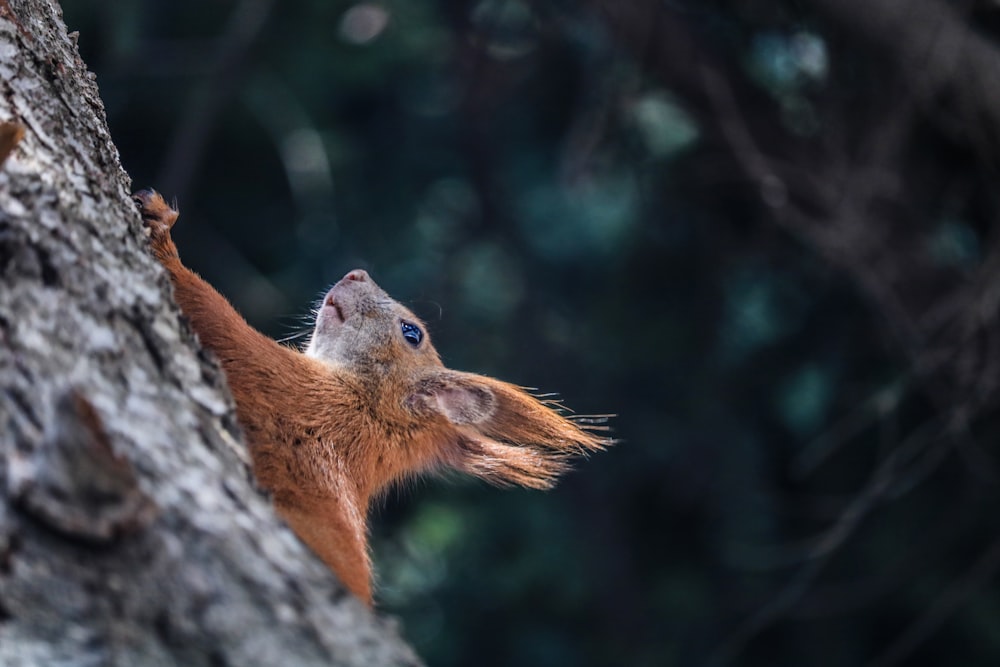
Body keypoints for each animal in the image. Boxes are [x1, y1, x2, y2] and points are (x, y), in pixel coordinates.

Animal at [133, 188, 608, 604]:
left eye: (411, 332)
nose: (355, 273)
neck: (366, 408)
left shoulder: (291, 387)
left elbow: (219, 321)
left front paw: (164, 239)